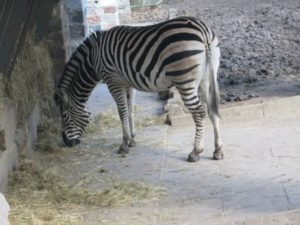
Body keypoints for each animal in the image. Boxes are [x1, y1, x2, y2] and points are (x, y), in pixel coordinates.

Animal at [54, 16, 224, 163]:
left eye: (64, 116)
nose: (66, 142)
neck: (94, 58)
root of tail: (202, 29)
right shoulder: (127, 83)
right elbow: (130, 110)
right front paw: (132, 140)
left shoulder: (113, 81)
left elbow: (122, 112)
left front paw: (124, 145)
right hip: (207, 78)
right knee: (212, 110)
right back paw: (218, 150)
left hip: (185, 81)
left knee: (199, 112)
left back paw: (195, 152)